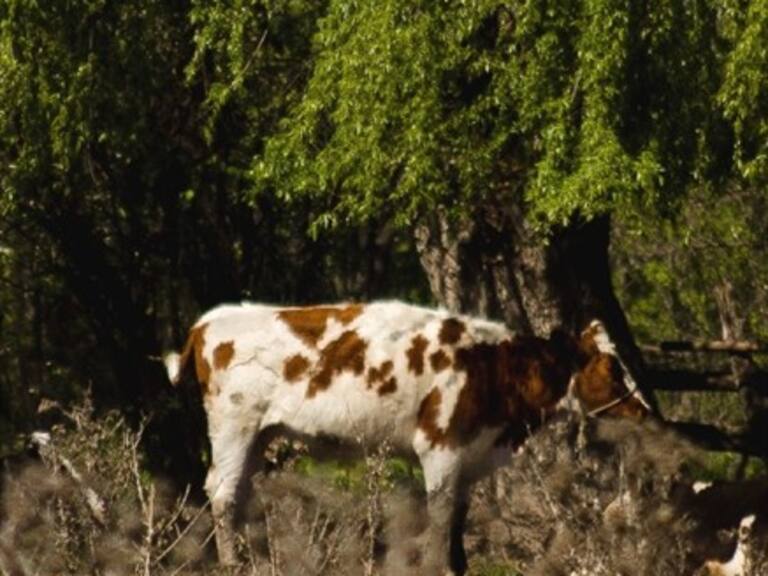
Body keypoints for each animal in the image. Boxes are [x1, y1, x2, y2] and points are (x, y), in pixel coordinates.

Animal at [164, 300, 650, 574]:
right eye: (612, 369)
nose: (644, 411)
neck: (489, 367)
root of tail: (209, 322)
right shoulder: (440, 447)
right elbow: (440, 517)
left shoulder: (469, 458)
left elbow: (457, 522)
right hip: (234, 426)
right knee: (223, 494)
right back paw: (233, 565)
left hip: (259, 435)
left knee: (239, 492)